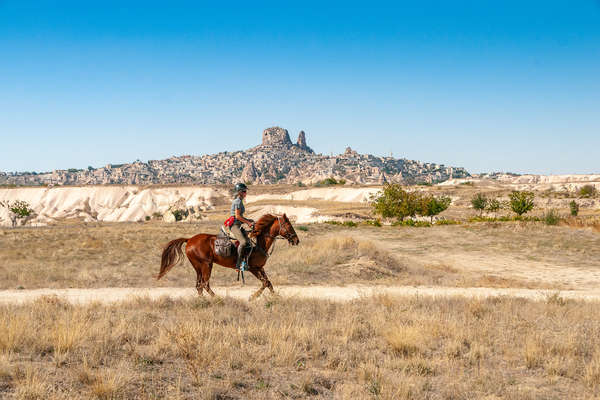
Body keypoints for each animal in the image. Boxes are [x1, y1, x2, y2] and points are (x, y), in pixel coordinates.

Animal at [157, 214, 300, 298]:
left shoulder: (260, 268)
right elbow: (265, 283)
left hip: (198, 267)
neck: (259, 242)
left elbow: (268, 283)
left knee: (199, 285)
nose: (296, 240)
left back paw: (203, 300)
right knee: (205, 284)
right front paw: (253, 297)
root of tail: (190, 239)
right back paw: (217, 299)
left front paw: (276, 298)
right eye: (289, 226)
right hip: (206, 265)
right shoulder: (253, 268)